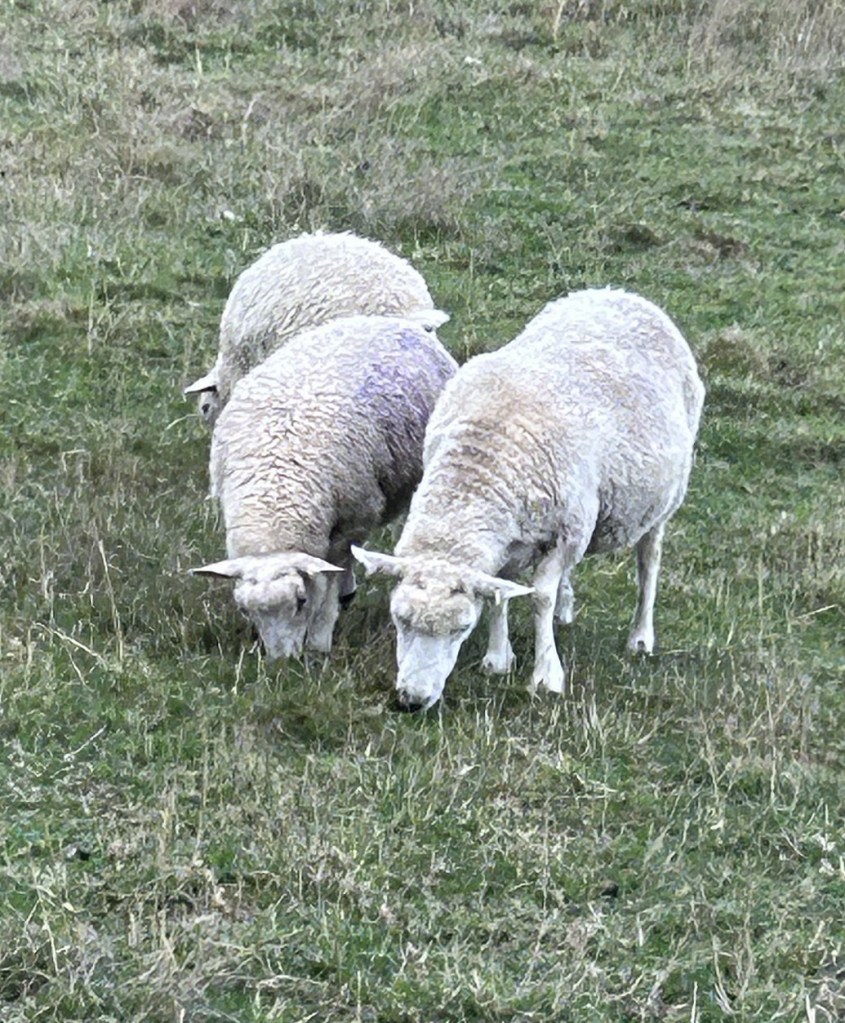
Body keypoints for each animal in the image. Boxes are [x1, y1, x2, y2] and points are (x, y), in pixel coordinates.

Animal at [191, 313, 458, 660]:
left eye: (300, 601)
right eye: (245, 610)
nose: (282, 663)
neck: (274, 493)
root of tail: (401, 320)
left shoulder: (352, 520)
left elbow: (330, 579)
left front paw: (320, 639)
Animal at [352, 287, 705, 711]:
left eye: (462, 628)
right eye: (399, 619)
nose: (412, 700)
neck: (484, 455)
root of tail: (620, 293)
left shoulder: (566, 535)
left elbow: (539, 599)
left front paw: (546, 675)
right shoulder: (515, 535)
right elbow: (501, 591)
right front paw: (498, 658)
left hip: (664, 498)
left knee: (648, 560)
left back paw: (640, 636)